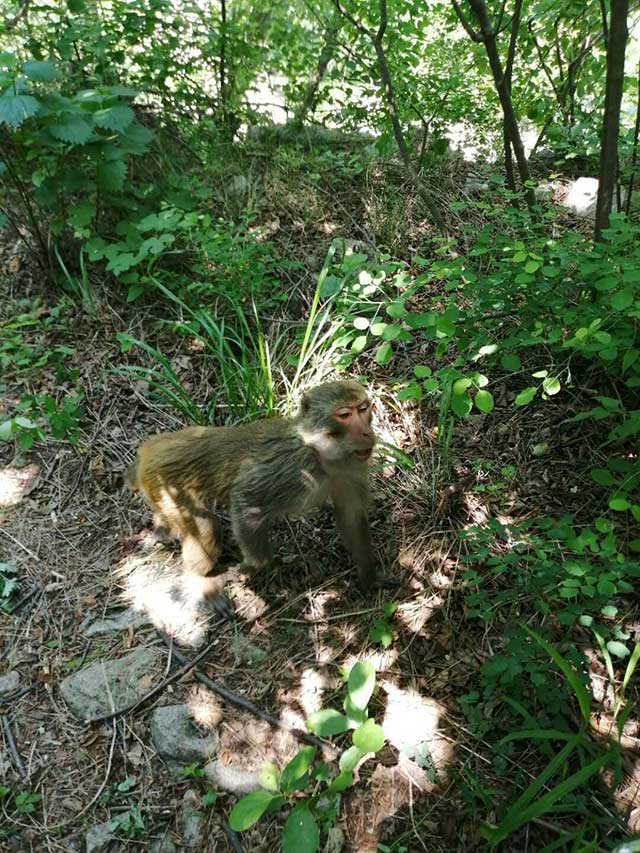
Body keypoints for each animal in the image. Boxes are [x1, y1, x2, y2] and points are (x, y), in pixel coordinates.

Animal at [127, 378, 382, 604]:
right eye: (344, 415)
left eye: (363, 409)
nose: (367, 433)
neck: (322, 454)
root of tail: (149, 448)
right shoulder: (291, 467)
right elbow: (245, 500)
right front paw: (255, 565)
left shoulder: (352, 467)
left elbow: (351, 517)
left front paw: (370, 577)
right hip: (166, 484)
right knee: (207, 529)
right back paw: (198, 579)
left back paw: (161, 530)